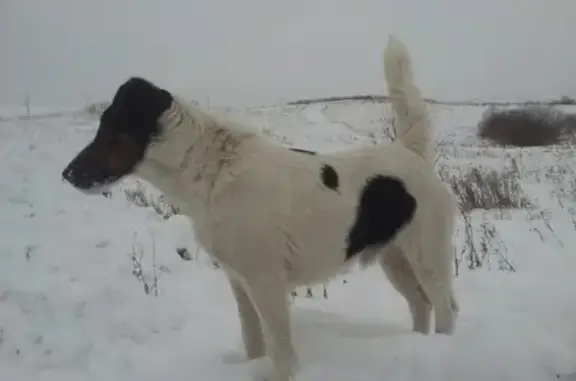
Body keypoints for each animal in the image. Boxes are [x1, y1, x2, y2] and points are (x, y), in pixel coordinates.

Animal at [63, 35, 460, 380]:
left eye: (111, 127)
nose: (67, 174)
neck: (209, 169)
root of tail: (411, 152)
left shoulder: (265, 280)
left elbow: (280, 349)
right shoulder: (239, 280)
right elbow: (253, 338)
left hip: (427, 255)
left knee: (445, 308)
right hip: (395, 259)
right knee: (420, 306)